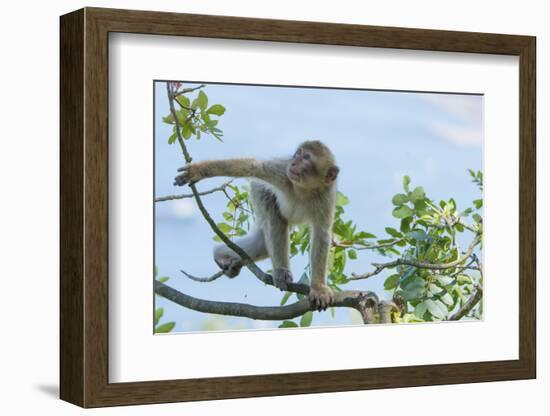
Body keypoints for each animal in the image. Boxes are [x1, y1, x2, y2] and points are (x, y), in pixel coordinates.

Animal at [175, 141, 342, 310]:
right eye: (297, 154)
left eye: (306, 157)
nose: (293, 162)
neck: (304, 189)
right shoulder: (282, 174)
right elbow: (253, 166)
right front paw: (198, 171)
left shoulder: (326, 197)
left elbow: (322, 234)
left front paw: (318, 288)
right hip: (259, 192)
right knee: (274, 215)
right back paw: (280, 271)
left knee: (262, 245)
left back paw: (221, 254)